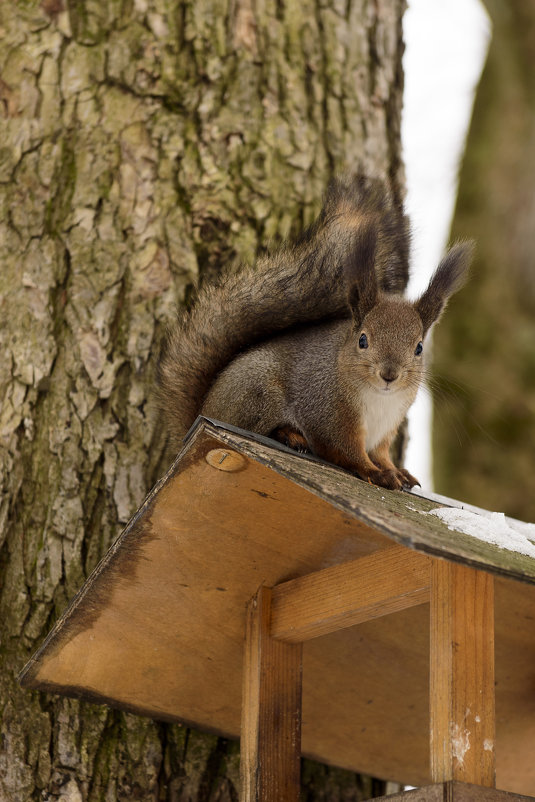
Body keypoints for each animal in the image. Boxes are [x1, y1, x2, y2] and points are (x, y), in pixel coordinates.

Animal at [158, 174, 474, 488]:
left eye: (419, 347)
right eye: (363, 340)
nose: (389, 375)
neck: (379, 398)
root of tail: (204, 412)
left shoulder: (387, 428)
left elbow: (381, 454)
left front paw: (395, 471)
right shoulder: (328, 413)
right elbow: (345, 451)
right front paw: (375, 473)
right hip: (258, 395)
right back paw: (290, 435)